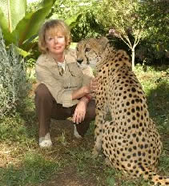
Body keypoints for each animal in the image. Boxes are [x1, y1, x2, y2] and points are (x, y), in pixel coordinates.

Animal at [76, 37, 169, 185]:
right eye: (77, 49)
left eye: (87, 49)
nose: (78, 61)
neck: (106, 56)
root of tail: (142, 163)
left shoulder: (101, 108)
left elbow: (97, 132)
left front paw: (94, 152)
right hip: (152, 123)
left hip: (109, 126)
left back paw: (108, 161)